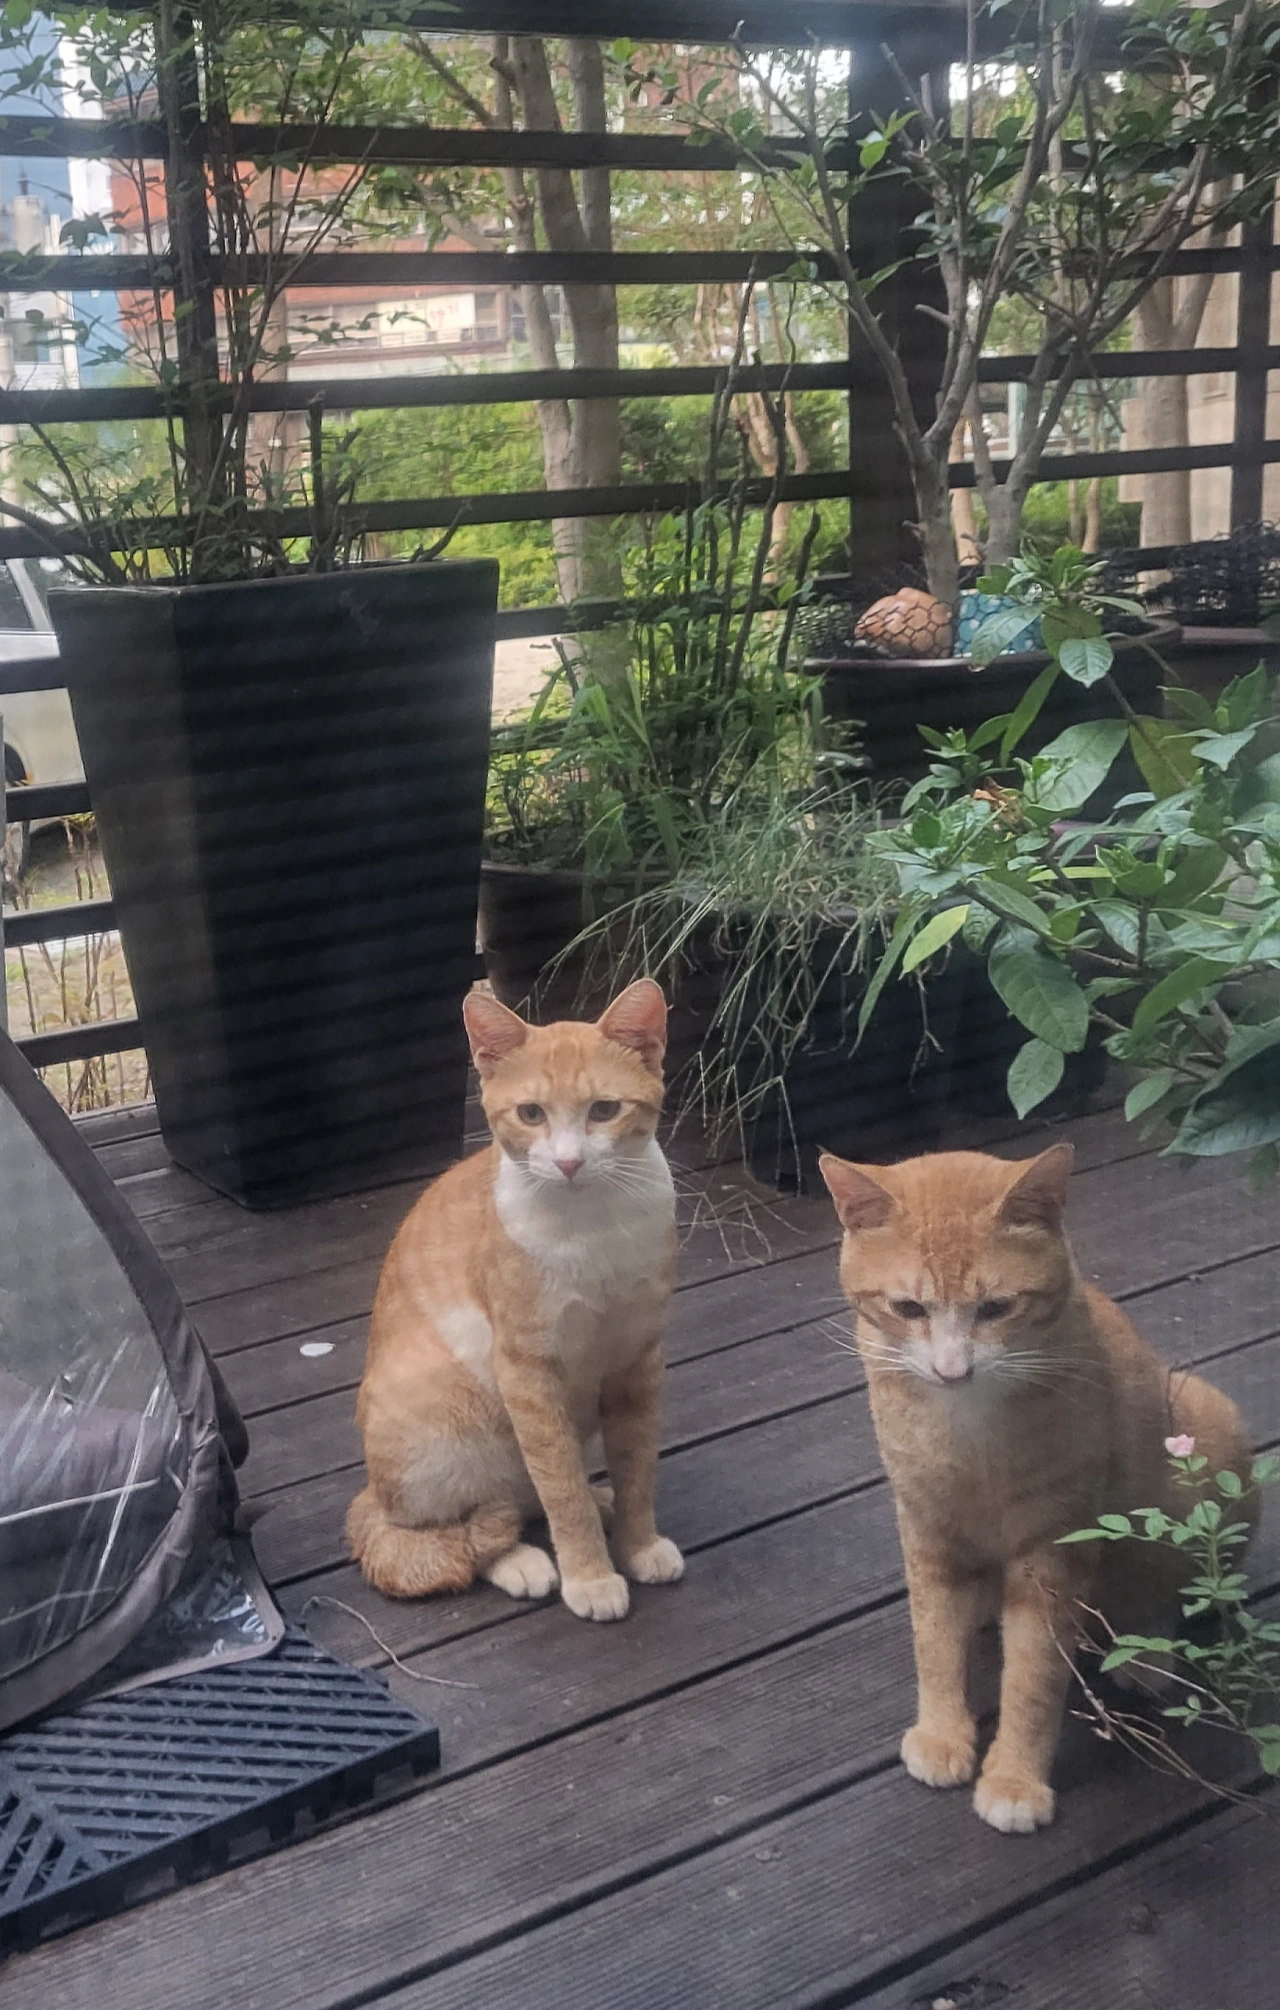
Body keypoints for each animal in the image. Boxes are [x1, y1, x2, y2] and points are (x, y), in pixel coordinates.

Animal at [347, 978, 684, 1623]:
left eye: (604, 1110)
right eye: (531, 1114)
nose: (570, 1162)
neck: (592, 1227)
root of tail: (371, 1495)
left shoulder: (639, 1359)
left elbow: (637, 1468)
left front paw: (638, 1544)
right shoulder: (529, 1374)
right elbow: (560, 1488)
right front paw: (589, 1576)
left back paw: (597, 1500)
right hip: (452, 1415)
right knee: (457, 1528)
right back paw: (521, 1560)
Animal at [819, 1141, 1256, 1835]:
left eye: (996, 1309)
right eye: (909, 1309)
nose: (952, 1370)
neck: (966, 1431)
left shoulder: (1054, 1552)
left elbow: (1033, 1677)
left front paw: (1015, 1780)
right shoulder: (927, 1531)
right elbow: (933, 1641)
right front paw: (943, 1733)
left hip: (1208, 1428)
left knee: (1175, 1588)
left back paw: (1147, 1653)